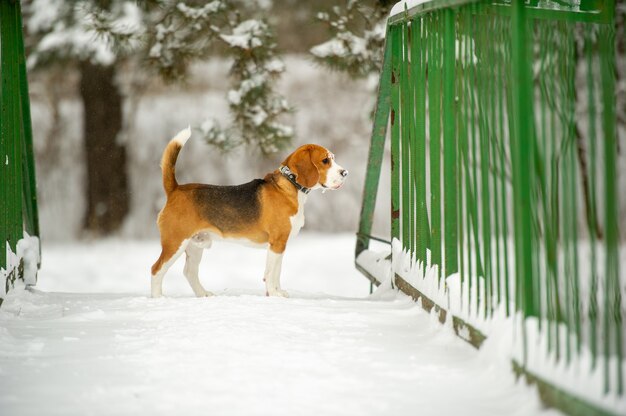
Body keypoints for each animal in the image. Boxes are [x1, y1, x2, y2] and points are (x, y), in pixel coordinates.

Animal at [149, 127, 348, 300]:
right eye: (325, 161)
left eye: (333, 159)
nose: (345, 173)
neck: (290, 185)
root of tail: (175, 189)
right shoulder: (277, 243)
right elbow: (271, 273)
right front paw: (274, 294)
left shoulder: (281, 245)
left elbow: (277, 272)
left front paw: (278, 293)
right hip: (175, 243)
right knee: (156, 269)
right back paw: (158, 298)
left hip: (195, 244)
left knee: (189, 272)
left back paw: (204, 294)